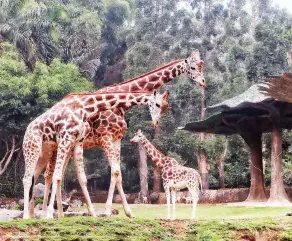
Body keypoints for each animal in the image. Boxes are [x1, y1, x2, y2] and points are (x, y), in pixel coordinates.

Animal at [22, 89, 169, 219]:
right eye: (157, 104)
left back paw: (34, 214)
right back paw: (26, 216)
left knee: (36, 176)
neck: (84, 106)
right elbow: (57, 177)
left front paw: (93, 213)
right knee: (28, 178)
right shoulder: (66, 138)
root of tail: (27, 130)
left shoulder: (77, 142)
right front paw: (49, 215)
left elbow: (82, 178)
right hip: (32, 148)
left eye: (165, 107)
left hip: (44, 153)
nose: (155, 123)